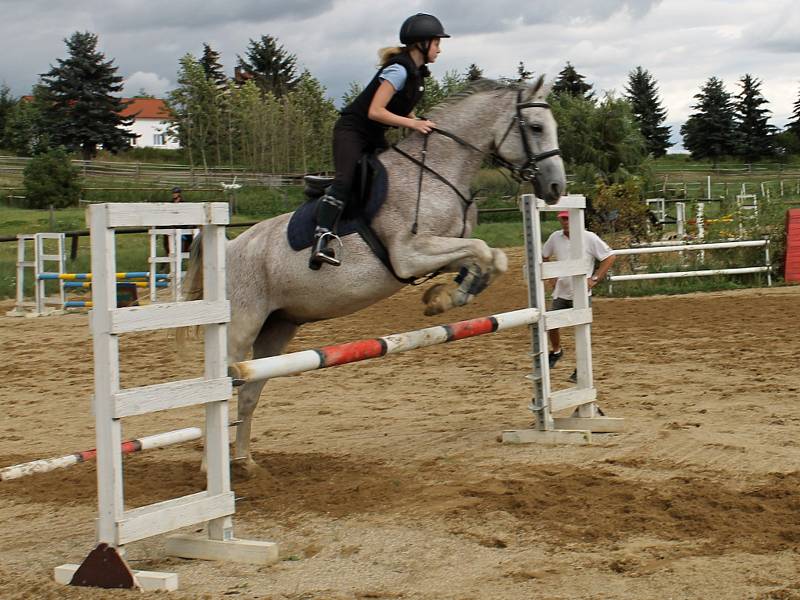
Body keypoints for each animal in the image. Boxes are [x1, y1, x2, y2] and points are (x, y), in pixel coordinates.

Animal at [184, 75, 564, 474]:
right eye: (536, 127)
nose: (557, 188)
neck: (437, 170)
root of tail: (228, 248)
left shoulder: (436, 252)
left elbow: (490, 258)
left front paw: (445, 297)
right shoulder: (409, 254)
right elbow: (479, 249)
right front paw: (445, 297)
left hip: (278, 327)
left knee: (249, 391)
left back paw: (246, 461)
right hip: (244, 323)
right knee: (224, 385)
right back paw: (211, 467)